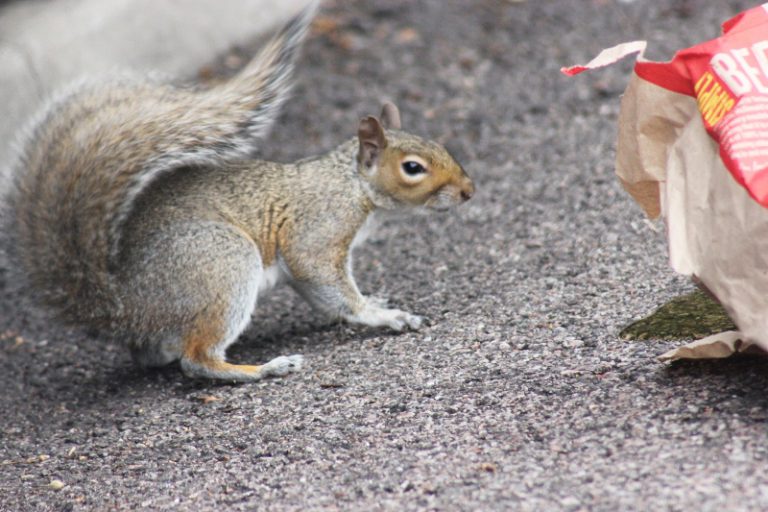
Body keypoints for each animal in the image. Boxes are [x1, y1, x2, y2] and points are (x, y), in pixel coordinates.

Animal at [4, 3, 475, 382]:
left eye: (441, 146)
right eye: (412, 168)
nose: (468, 191)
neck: (351, 183)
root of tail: (125, 307)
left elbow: (320, 294)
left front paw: (373, 300)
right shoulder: (318, 230)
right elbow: (324, 278)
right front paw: (384, 316)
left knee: (156, 356)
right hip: (222, 263)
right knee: (197, 360)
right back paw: (263, 368)